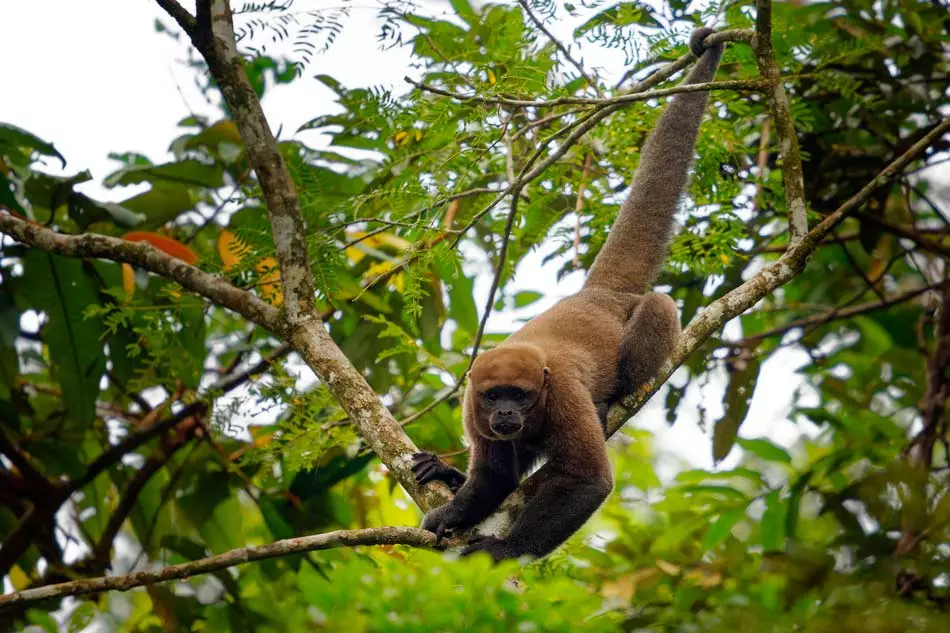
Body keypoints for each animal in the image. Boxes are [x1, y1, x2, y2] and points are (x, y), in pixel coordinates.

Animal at [412, 27, 724, 560]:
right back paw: (445, 475)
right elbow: (493, 478)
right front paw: (453, 510)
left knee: (658, 307)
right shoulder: (472, 409)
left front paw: (505, 550)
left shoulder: (561, 396)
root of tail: (596, 294)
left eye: (519, 395)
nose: (507, 413)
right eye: (494, 396)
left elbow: (590, 479)